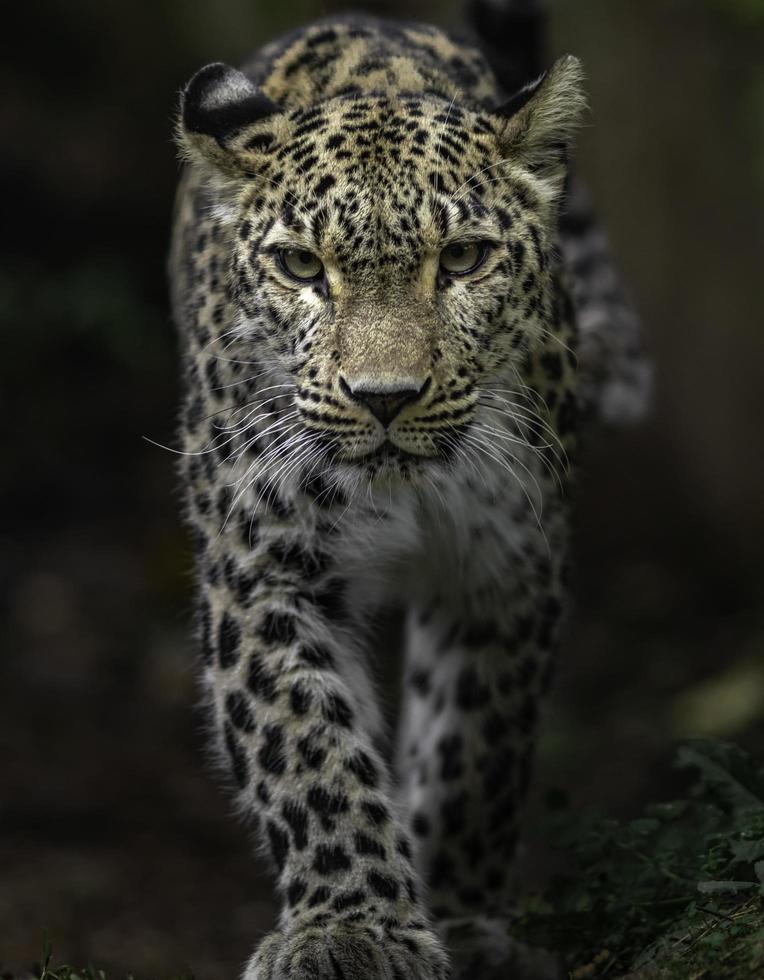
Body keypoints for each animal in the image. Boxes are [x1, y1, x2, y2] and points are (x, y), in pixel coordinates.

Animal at [169, 3, 652, 976]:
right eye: (300, 267)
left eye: (463, 259)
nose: (384, 397)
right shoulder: (261, 568)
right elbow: (308, 752)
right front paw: (351, 930)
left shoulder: (508, 569)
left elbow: (476, 750)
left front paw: (464, 923)